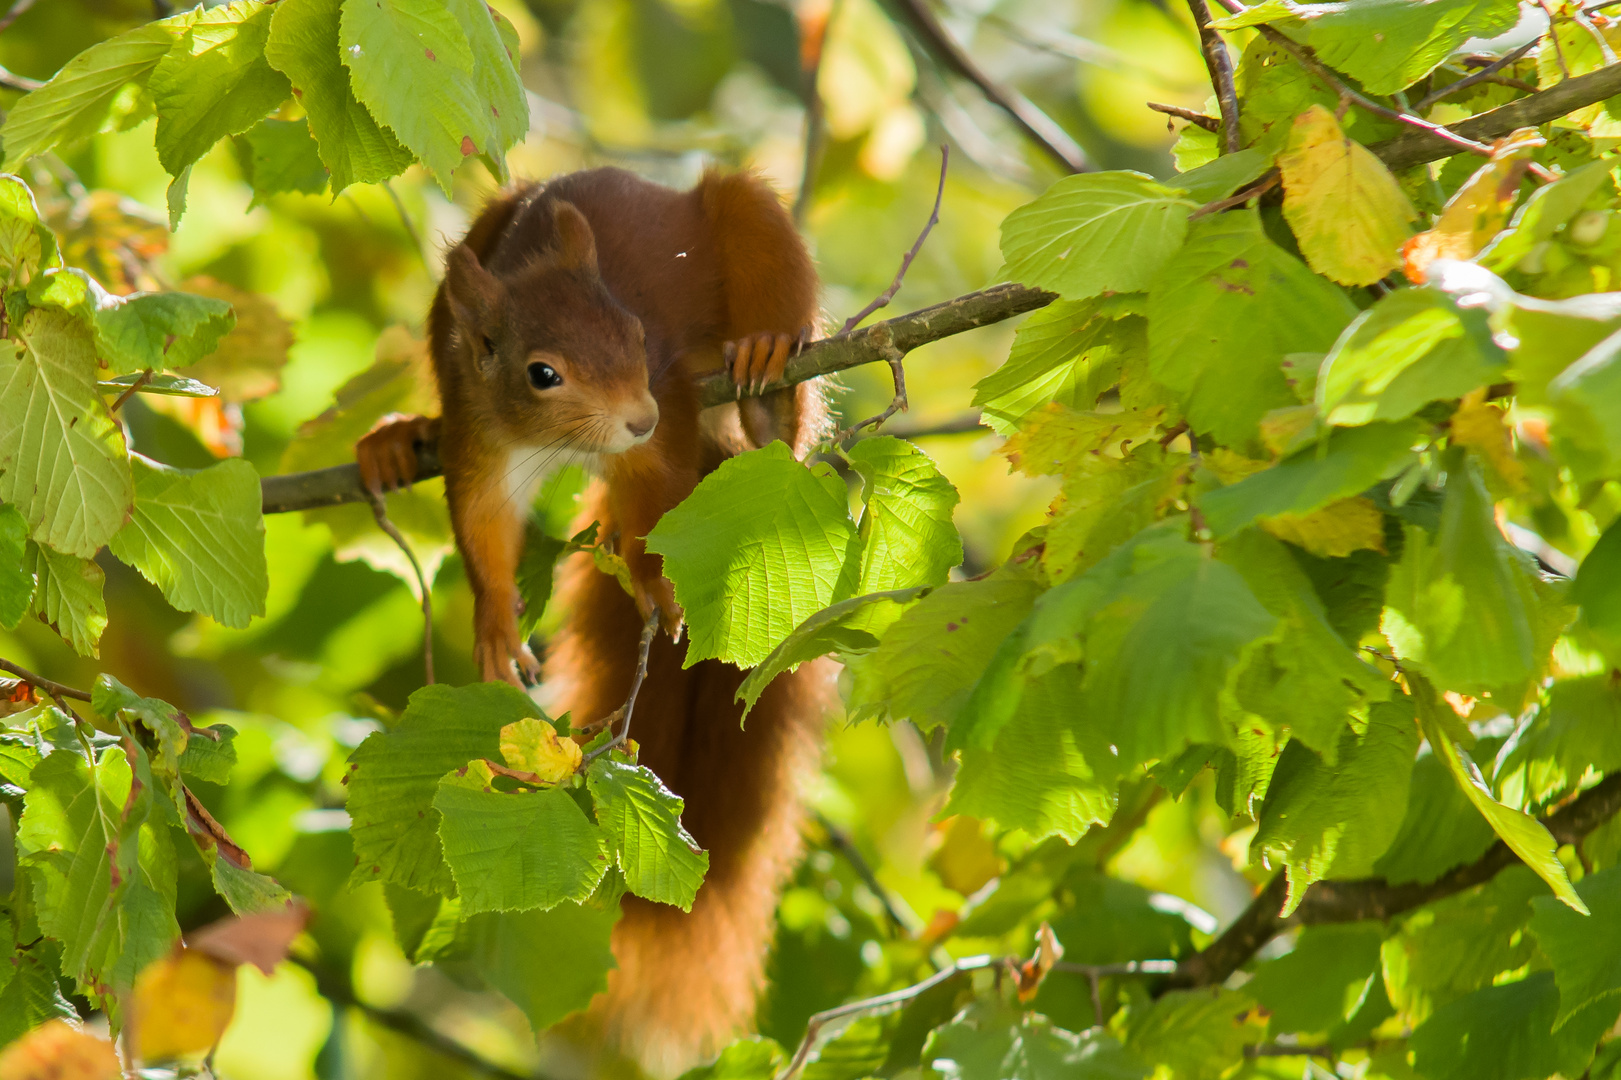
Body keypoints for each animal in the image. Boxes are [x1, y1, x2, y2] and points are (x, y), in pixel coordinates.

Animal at [356, 168, 836, 1070]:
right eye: (541, 372)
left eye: (635, 332)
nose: (636, 414)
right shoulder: (479, 433)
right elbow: (483, 531)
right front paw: (496, 626)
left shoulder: (667, 412)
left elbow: (656, 504)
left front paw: (651, 584)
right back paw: (396, 441)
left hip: (747, 241)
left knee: (776, 403)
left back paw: (765, 379)